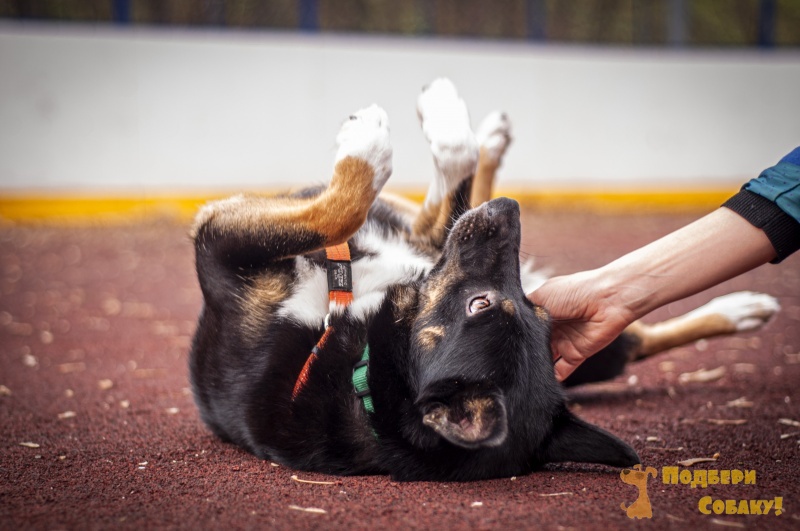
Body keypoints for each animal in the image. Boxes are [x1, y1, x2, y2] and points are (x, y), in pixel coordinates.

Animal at [191, 79, 780, 482]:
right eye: (538, 311)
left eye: (482, 305)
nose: (512, 212)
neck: (360, 364)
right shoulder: (428, 241)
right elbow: (451, 175)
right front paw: (453, 127)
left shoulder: (220, 245)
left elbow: (340, 209)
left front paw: (369, 143)